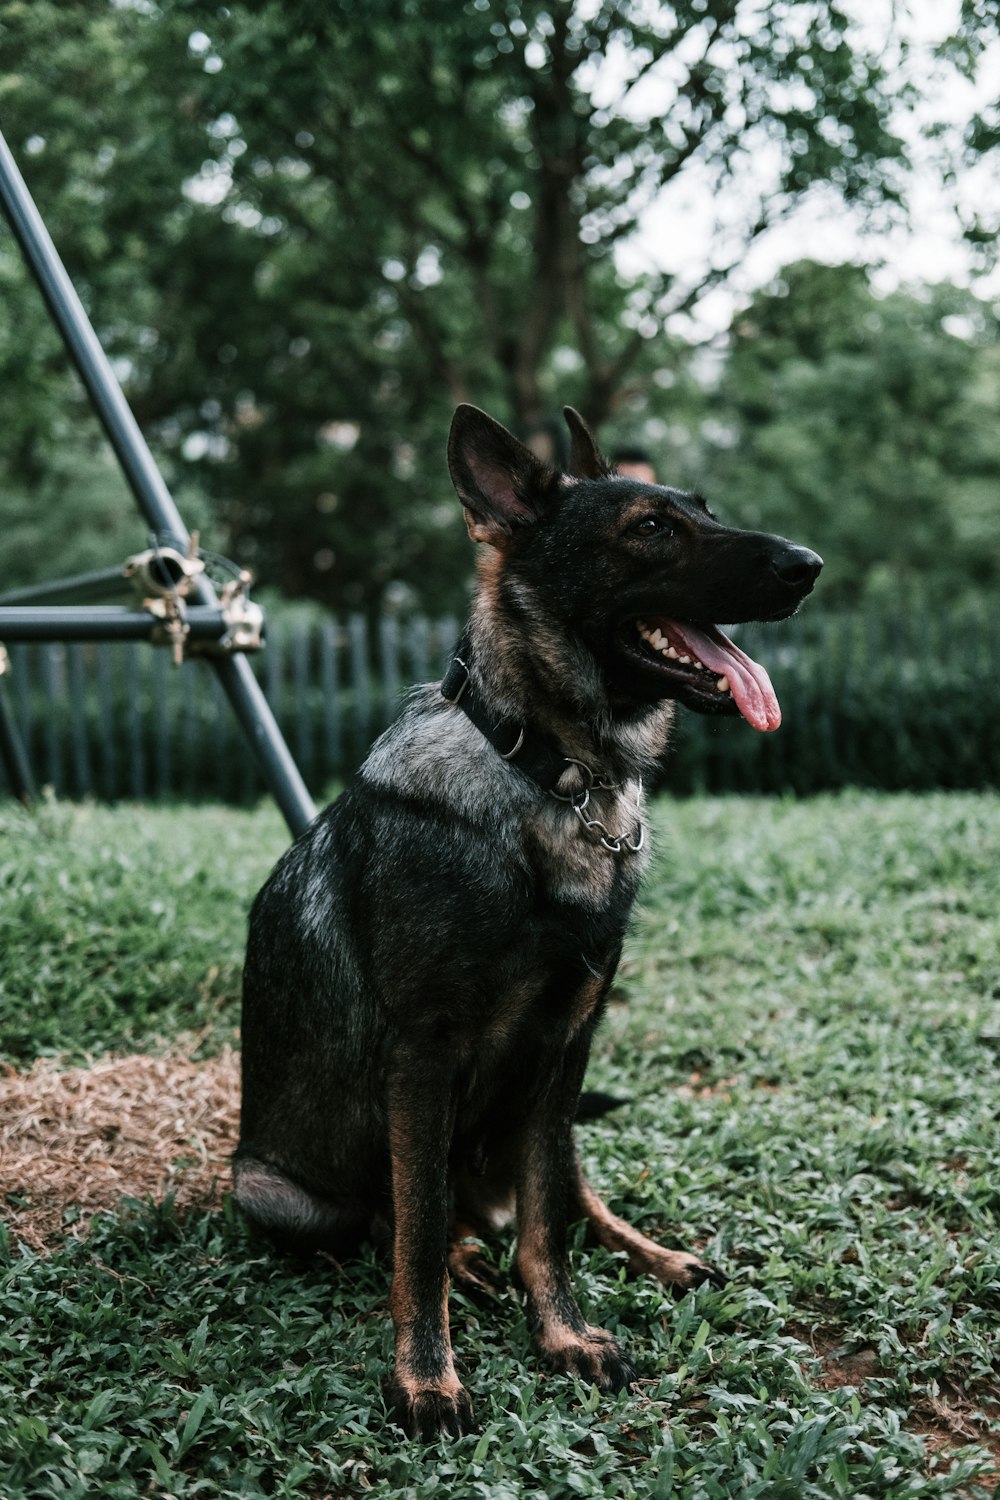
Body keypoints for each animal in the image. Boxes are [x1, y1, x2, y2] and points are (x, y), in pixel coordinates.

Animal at [235, 405, 821, 1434]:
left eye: (706, 511)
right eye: (652, 528)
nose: (809, 565)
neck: (553, 772)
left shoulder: (567, 1043)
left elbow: (549, 1214)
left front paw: (563, 1334)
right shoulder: (422, 1057)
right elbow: (417, 1231)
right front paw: (426, 1379)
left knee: (568, 1193)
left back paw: (651, 1253)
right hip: (275, 1194)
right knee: (401, 1218)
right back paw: (469, 1260)